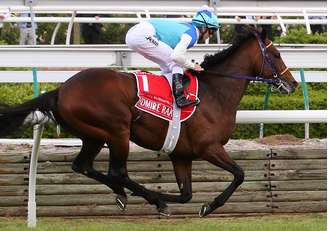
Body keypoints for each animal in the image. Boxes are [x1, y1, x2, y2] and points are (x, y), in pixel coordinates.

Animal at [0, 26, 298, 217]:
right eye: (276, 55)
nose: (292, 83)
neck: (215, 91)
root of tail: (61, 89)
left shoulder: (181, 154)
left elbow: (186, 194)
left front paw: (173, 200)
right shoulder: (209, 148)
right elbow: (239, 174)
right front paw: (207, 206)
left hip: (93, 135)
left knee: (84, 166)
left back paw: (126, 195)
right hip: (117, 131)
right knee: (117, 172)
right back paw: (144, 197)